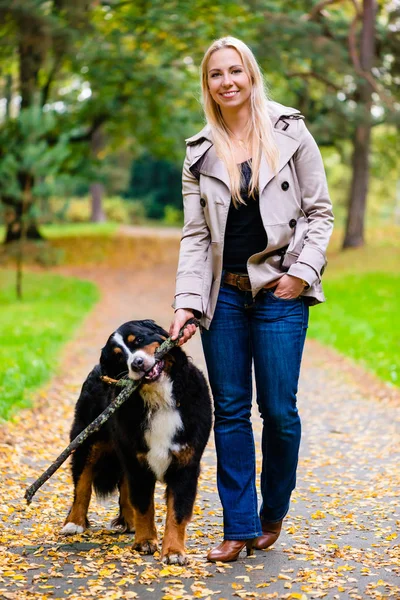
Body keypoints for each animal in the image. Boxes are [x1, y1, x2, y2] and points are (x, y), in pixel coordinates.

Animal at [61, 322, 212, 564]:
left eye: (138, 340)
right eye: (118, 356)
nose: (137, 363)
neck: (158, 400)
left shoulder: (185, 464)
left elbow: (177, 512)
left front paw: (173, 551)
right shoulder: (138, 462)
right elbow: (143, 505)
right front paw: (145, 541)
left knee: (123, 487)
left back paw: (129, 522)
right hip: (88, 441)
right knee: (82, 484)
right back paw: (74, 523)